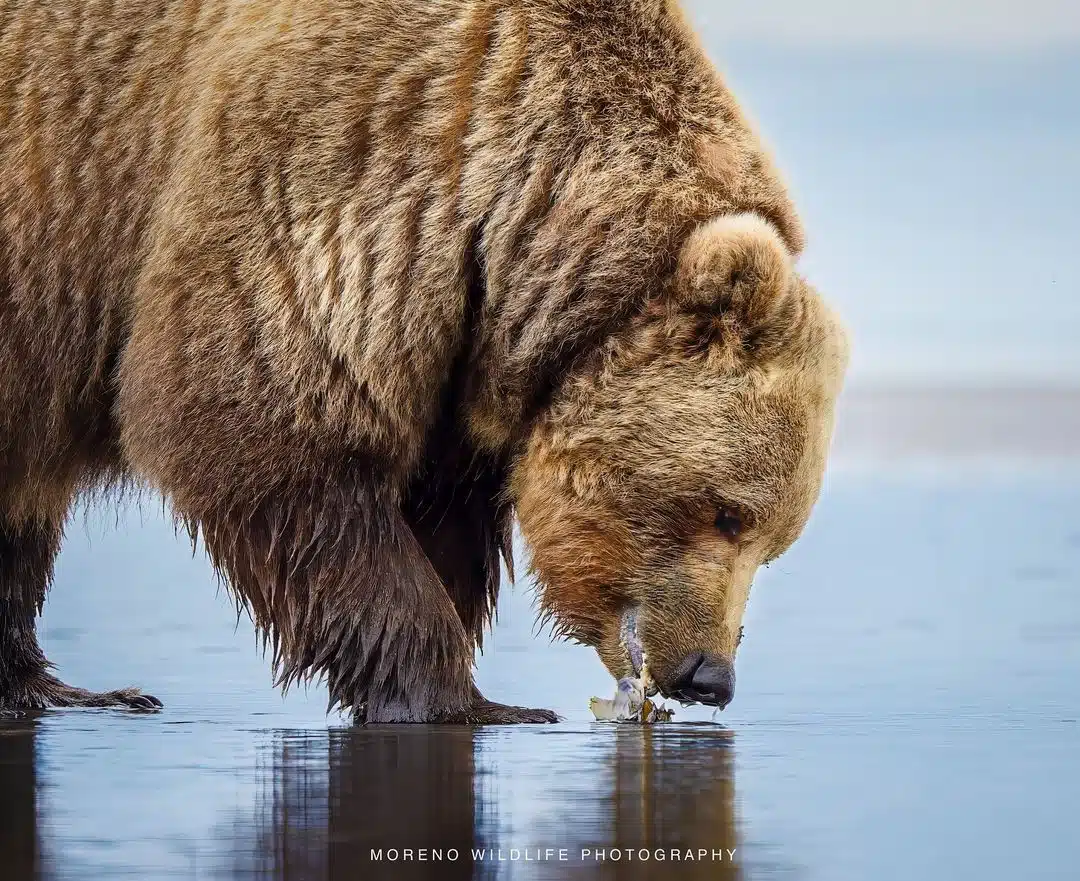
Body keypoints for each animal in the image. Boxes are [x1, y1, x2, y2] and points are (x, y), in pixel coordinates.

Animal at [0, 0, 842, 721]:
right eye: (725, 512)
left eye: (774, 544)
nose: (709, 674)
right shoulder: (332, 159)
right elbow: (270, 433)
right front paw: (460, 697)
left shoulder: (454, 349)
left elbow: (441, 508)